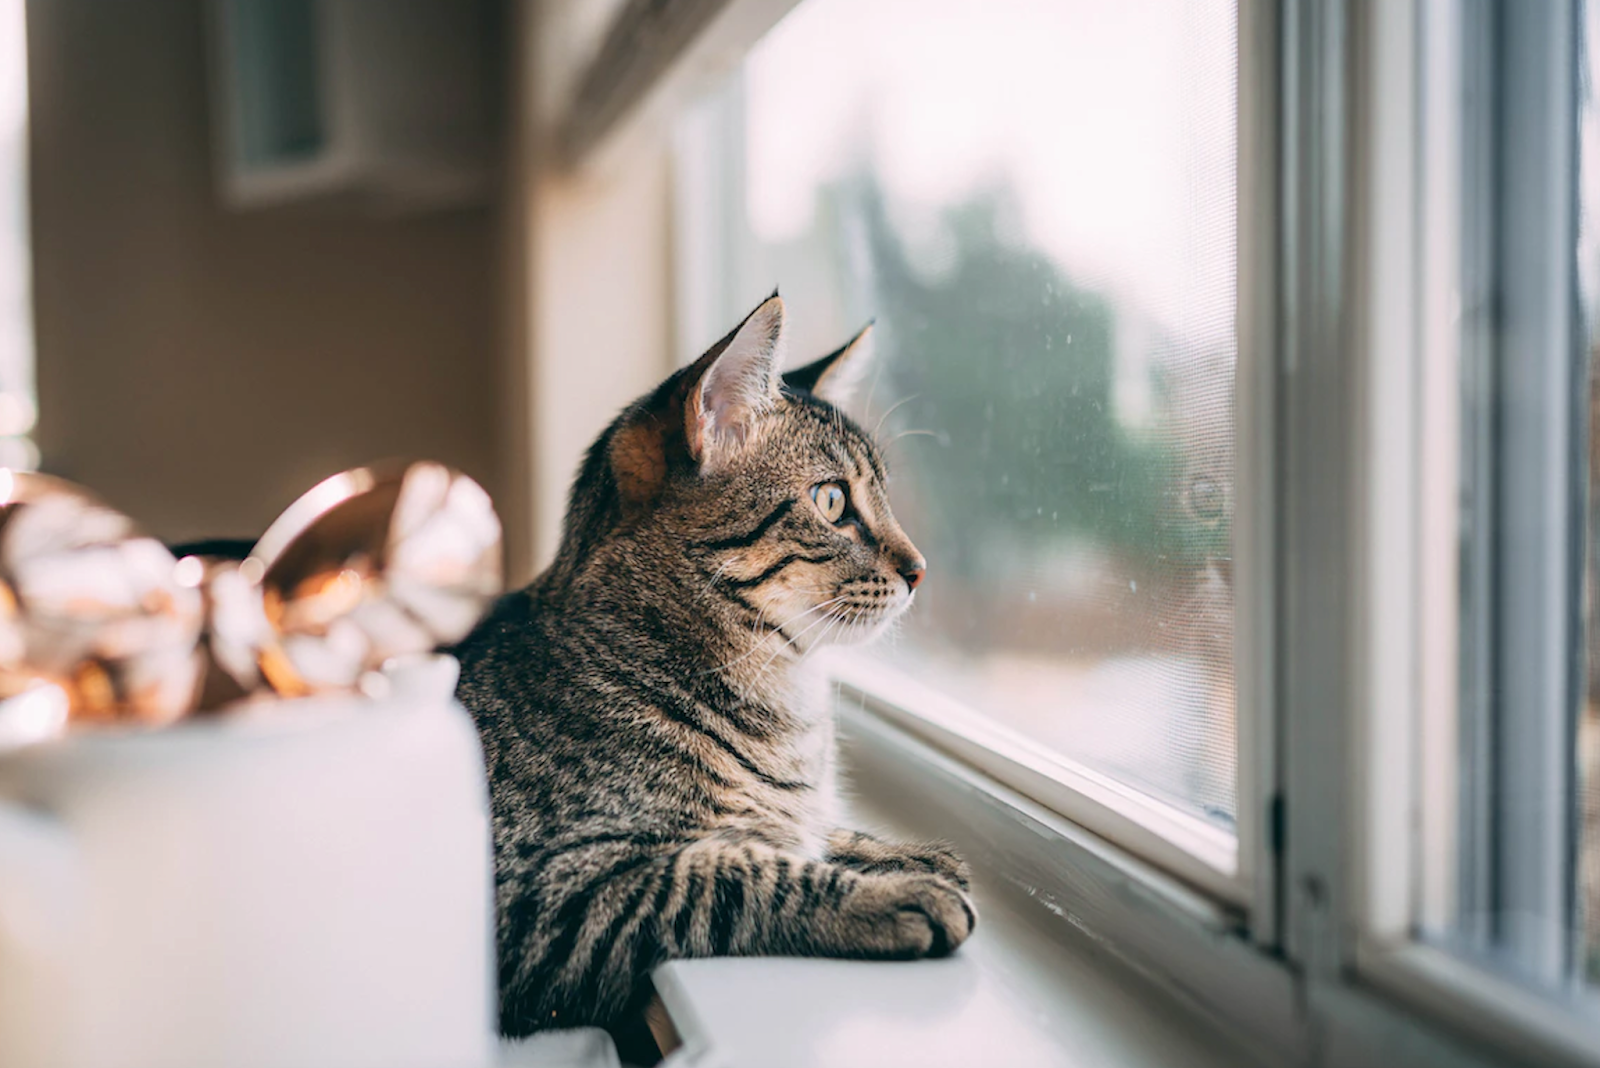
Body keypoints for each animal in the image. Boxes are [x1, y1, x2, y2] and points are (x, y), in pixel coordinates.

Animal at [451, 289, 972, 1036]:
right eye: (832, 501)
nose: (921, 569)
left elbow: (804, 832)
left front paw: (893, 850)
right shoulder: (540, 902)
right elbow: (732, 874)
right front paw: (893, 892)